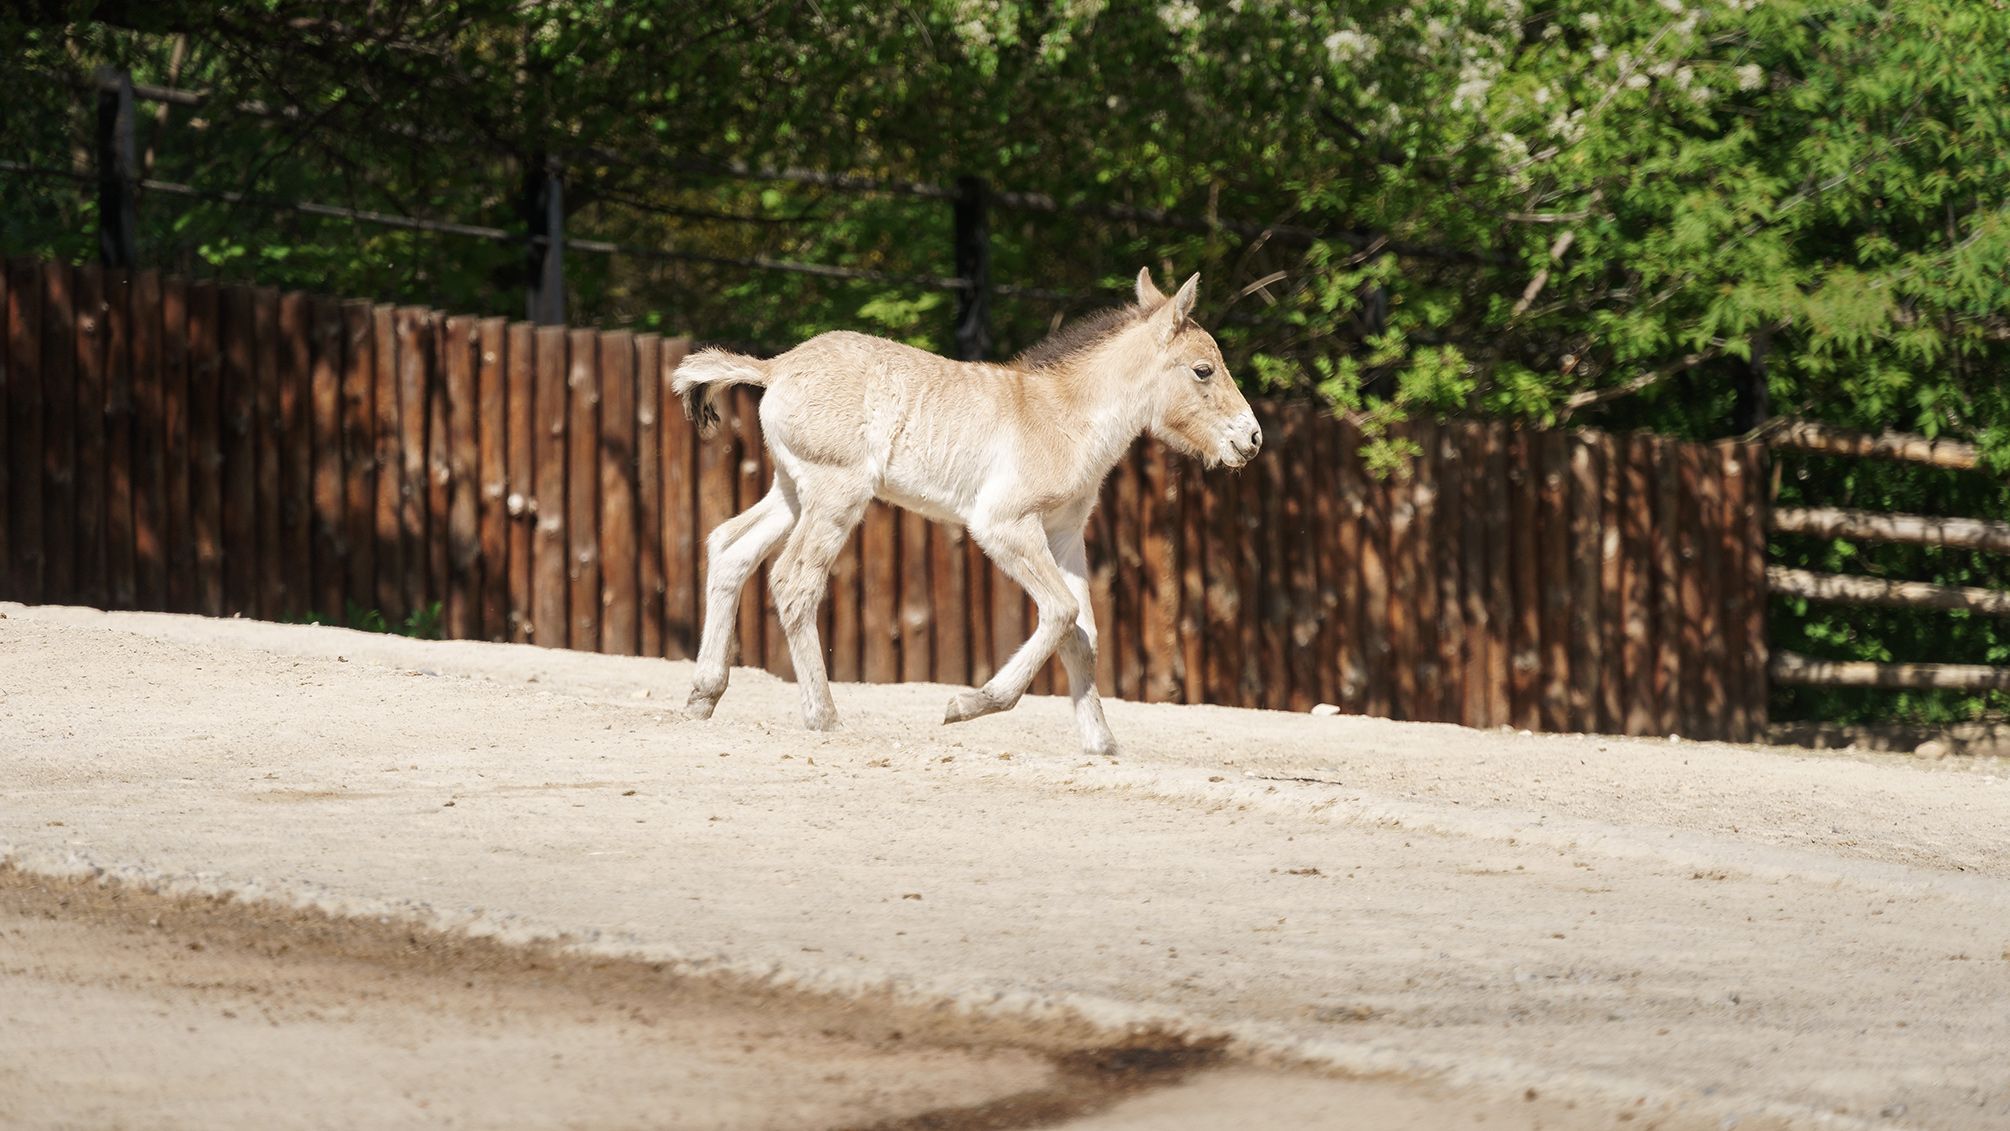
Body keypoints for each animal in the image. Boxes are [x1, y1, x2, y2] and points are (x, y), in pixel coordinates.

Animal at [675, 269, 1254, 755]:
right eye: (1203, 370)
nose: (1251, 439)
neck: (1064, 416)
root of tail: (775, 368)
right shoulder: (1005, 525)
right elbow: (1062, 612)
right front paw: (969, 704)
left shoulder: (1066, 535)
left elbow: (1083, 635)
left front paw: (1102, 744)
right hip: (836, 493)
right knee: (795, 580)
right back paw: (825, 717)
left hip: (794, 493)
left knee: (729, 548)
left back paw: (703, 696)